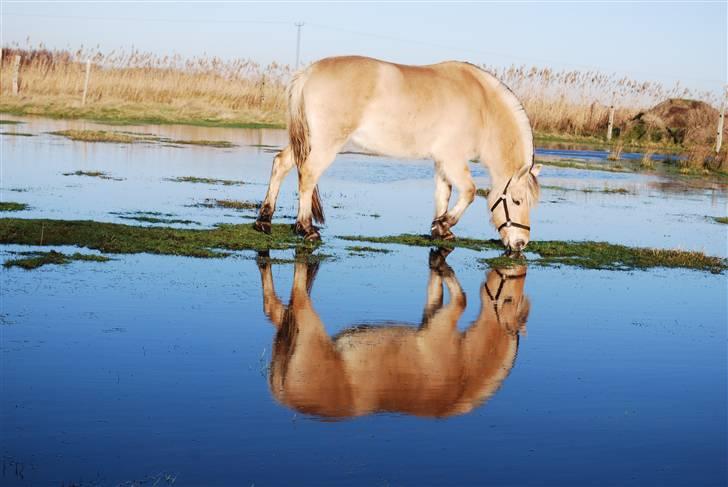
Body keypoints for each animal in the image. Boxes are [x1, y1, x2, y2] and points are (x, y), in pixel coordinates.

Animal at [253, 57, 544, 252]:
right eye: (517, 201)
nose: (520, 243)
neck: (481, 106)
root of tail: (308, 72)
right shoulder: (453, 159)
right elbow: (470, 192)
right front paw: (445, 224)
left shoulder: (442, 162)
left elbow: (443, 194)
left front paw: (440, 230)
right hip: (325, 143)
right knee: (308, 174)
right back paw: (306, 228)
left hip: (306, 141)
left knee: (281, 164)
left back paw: (264, 221)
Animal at [256, 252, 528, 420]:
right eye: (510, 298)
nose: (514, 260)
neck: (465, 368)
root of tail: (286, 397)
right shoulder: (441, 325)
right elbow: (462, 299)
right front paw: (442, 263)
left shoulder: (432, 316)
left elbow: (437, 293)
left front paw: (437, 259)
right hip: (307, 320)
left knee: (275, 309)